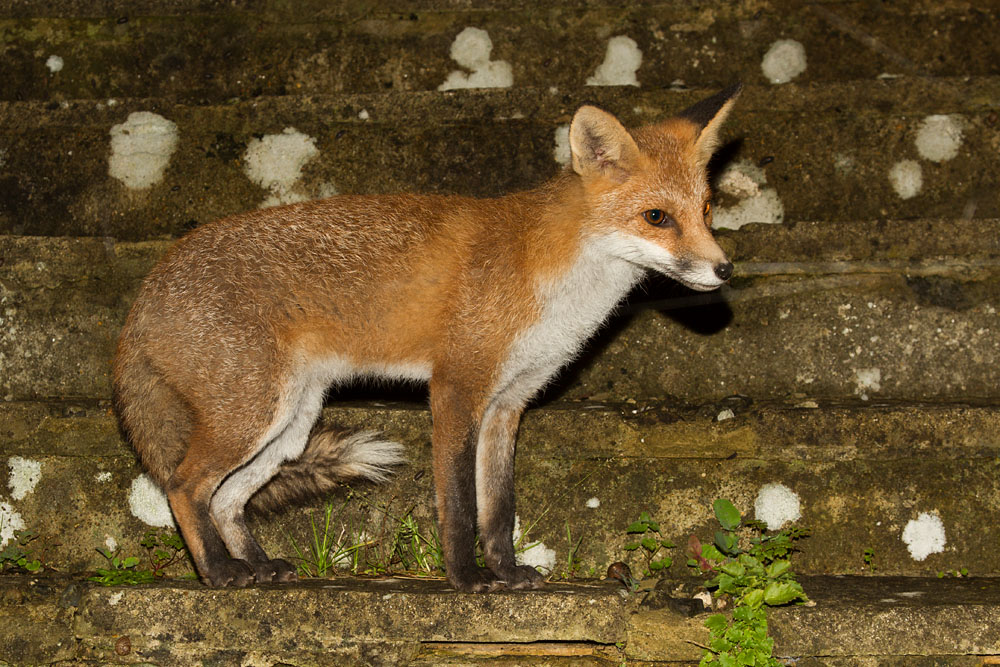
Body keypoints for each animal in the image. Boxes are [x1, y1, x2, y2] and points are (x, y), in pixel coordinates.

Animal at [112, 83, 741, 593]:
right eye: (657, 217)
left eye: (708, 209)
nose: (724, 270)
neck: (559, 285)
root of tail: (146, 291)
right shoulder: (457, 389)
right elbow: (458, 506)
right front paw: (465, 579)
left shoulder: (508, 405)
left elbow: (499, 509)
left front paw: (507, 573)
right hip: (250, 413)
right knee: (184, 487)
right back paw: (218, 574)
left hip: (289, 423)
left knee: (226, 499)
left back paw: (259, 567)